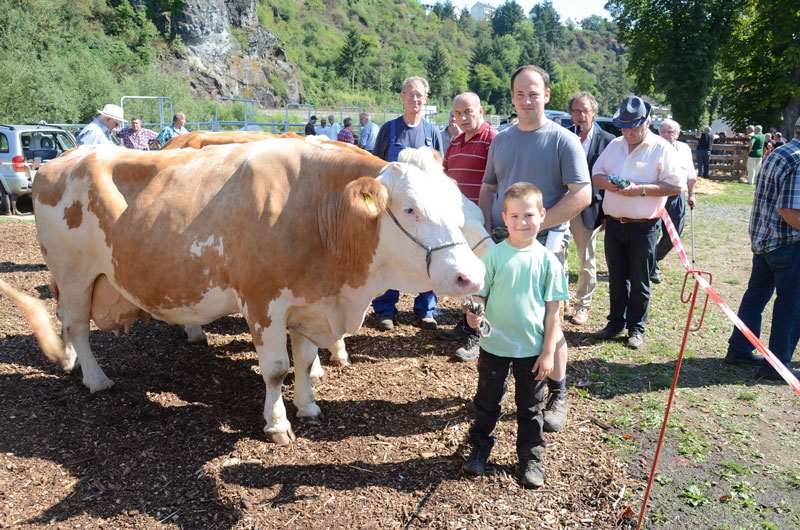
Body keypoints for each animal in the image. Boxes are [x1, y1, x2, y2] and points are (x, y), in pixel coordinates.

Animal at [20, 137, 482, 442]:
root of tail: (62, 159)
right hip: (74, 273)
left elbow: (305, 360)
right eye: (409, 208)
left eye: (457, 203)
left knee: (66, 322)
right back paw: (95, 378)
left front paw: (308, 406)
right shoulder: (264, 303)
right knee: (77, 325)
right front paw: (277, 423)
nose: (471, 276)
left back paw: (71, 363)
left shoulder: (306, 302)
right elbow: (277, 368)